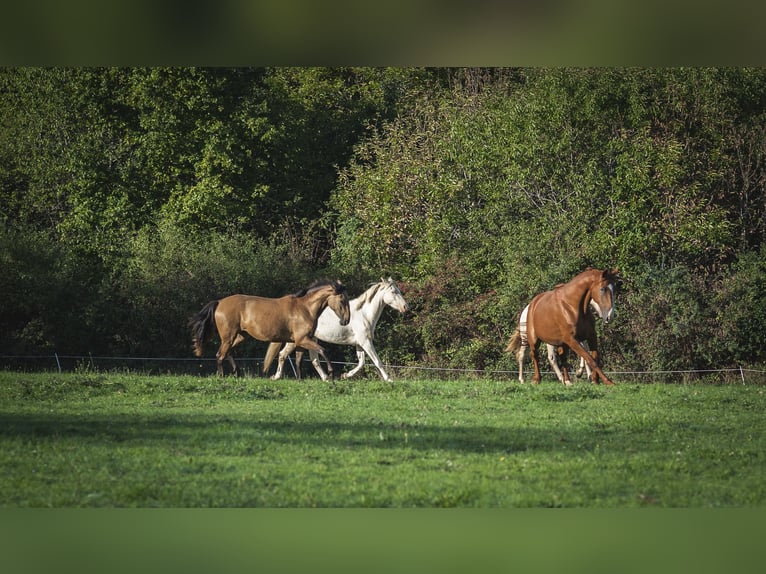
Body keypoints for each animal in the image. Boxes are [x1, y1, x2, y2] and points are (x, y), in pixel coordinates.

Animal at [189, 279, 350, 376]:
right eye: (342, 299)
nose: (346, 321)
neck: (305, 308)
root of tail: (219, 302)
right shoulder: (303, 340)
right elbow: (323, 350)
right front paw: (331, 373)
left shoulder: (300, 342)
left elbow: (298, 362)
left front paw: (300, 380)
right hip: (228, 337)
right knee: (220, 355)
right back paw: (222, 376)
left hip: (240, 336)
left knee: (228, 353)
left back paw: (236, 372)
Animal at [263, 278, 409, 382]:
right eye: (394, 292)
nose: (406, 307)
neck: (363, 314)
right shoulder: (366, 342)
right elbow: (377, 361)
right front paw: (389, 379)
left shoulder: (359, 343)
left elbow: (361, 362)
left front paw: (345, 375)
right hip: (296, 341)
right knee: (283, 354)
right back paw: (276, 377)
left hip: (311, 339)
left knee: (314, 360)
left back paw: (326, 378)